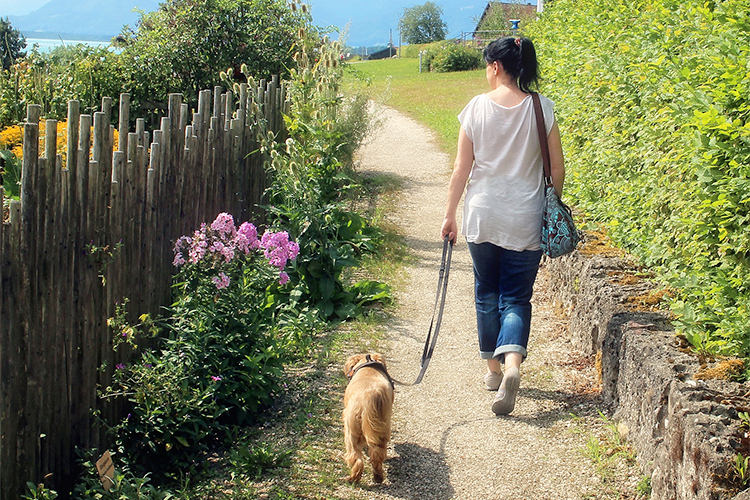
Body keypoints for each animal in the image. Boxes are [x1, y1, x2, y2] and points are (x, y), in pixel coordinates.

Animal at [344, 354, 396, 482]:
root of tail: (367, 401)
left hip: (350, 430)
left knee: (356, 456)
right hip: (381, 429)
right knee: (375, 454)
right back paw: (376, 477)